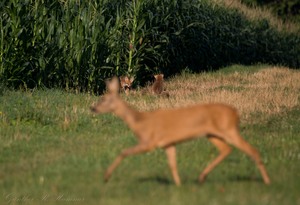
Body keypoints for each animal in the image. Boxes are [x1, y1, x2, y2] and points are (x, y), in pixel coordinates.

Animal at [90, 77, 270, 186]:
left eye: (103, 99)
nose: (93, 108)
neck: (140, 121)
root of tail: (235, 112)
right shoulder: (168, 144)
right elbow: (173, 165)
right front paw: (178, 184)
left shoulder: (149, 142)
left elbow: (124, 152)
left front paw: (106, 177)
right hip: (212, 134)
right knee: (227, 149)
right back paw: (201, 177)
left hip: (228, 130)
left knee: (251, 150)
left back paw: (267, 181)